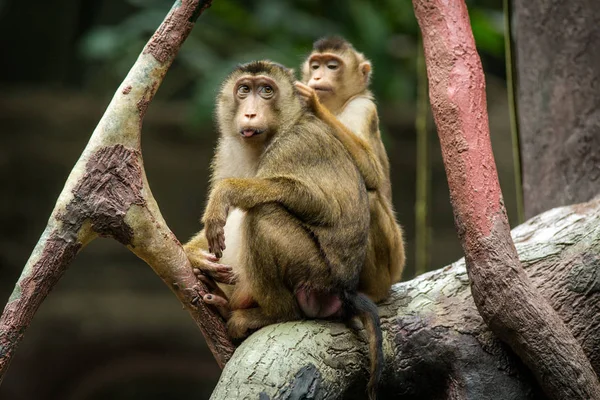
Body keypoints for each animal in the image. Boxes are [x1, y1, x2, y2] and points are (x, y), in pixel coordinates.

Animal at [185, 61, 384, 398]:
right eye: (244, 90)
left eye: (266, 90)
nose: (250, 113)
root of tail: (344, 292)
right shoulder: (227, 150)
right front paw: (194, 255)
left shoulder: (296, 146)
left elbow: (321, 204)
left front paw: (226, 192)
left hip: (317, 277)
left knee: (262, 214)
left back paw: (274, 314)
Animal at [292, 37, 406, 304]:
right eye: (315, 65)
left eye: (332, 66)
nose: (317, 77)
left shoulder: (363, 107)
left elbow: (372, 172)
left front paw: (313, 103)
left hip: (395, 257)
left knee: (371, 200)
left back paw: (372, 291)